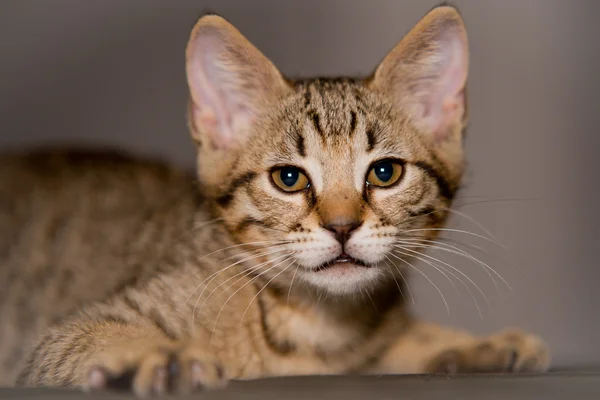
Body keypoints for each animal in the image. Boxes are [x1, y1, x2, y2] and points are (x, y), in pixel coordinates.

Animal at [0, 4, 552, 396]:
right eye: (288, 178)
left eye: (385, 173)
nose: (342, 226)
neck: (318, 329)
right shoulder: (54, 339)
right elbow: (87, 338)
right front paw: (147, 355)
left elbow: (405, 341)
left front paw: (476, 345)